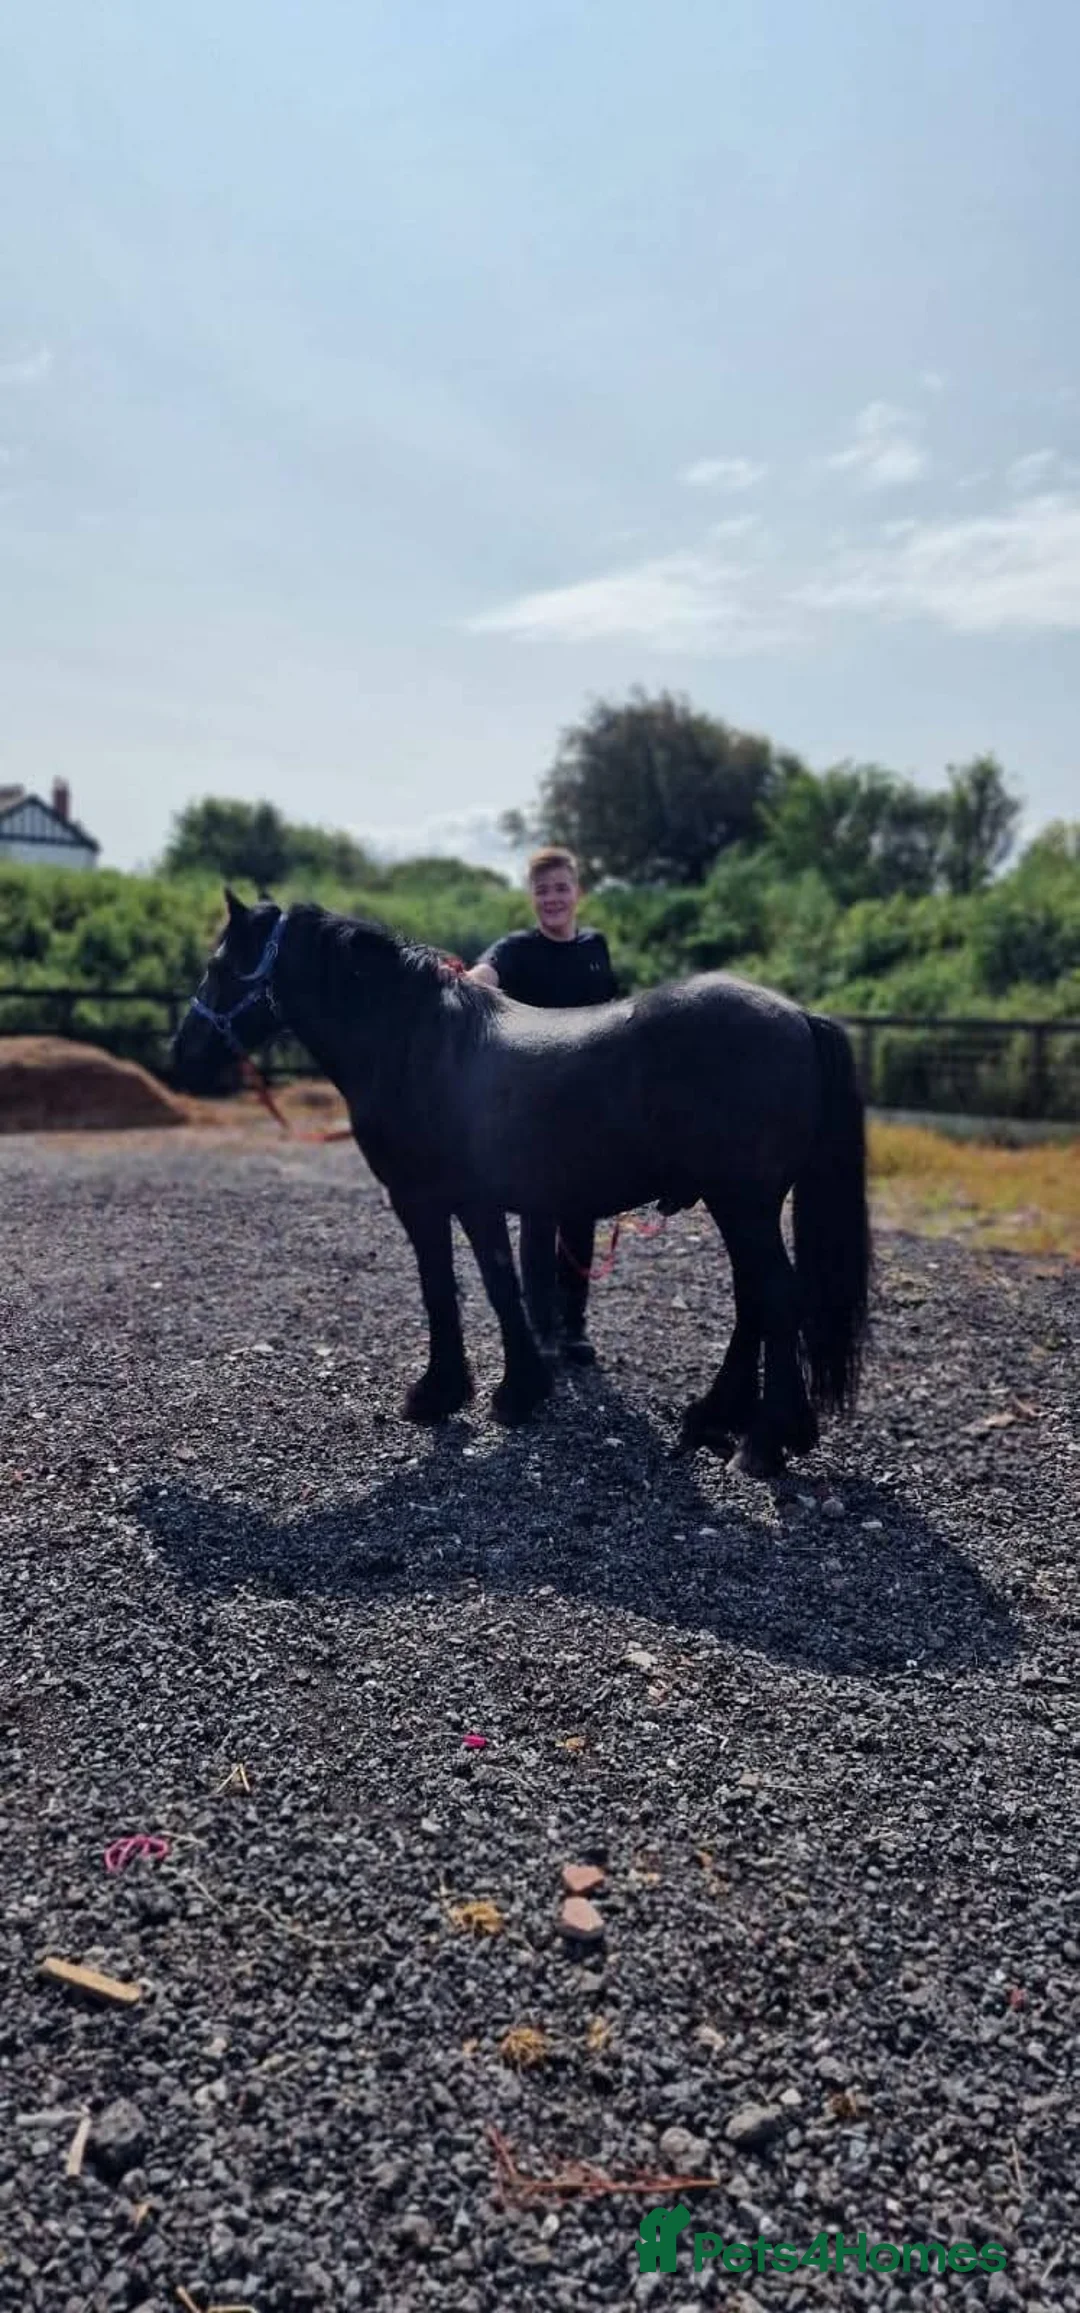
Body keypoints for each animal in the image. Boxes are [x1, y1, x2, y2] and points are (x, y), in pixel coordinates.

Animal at [171, 890, 872, 1477]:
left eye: (220, 966)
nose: (183, 1055)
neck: (414, 1040)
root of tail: (798, 1015)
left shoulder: (426, 1199)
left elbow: (462, 1287)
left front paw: (471, 1393)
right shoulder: (463, 1201)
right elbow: (483, 1284)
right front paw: (497, 1389)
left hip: (744, 1203)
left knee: (776, 1298)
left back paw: (764, 1442)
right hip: (739, 1206)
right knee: (755, 1300)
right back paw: (721, 1418)